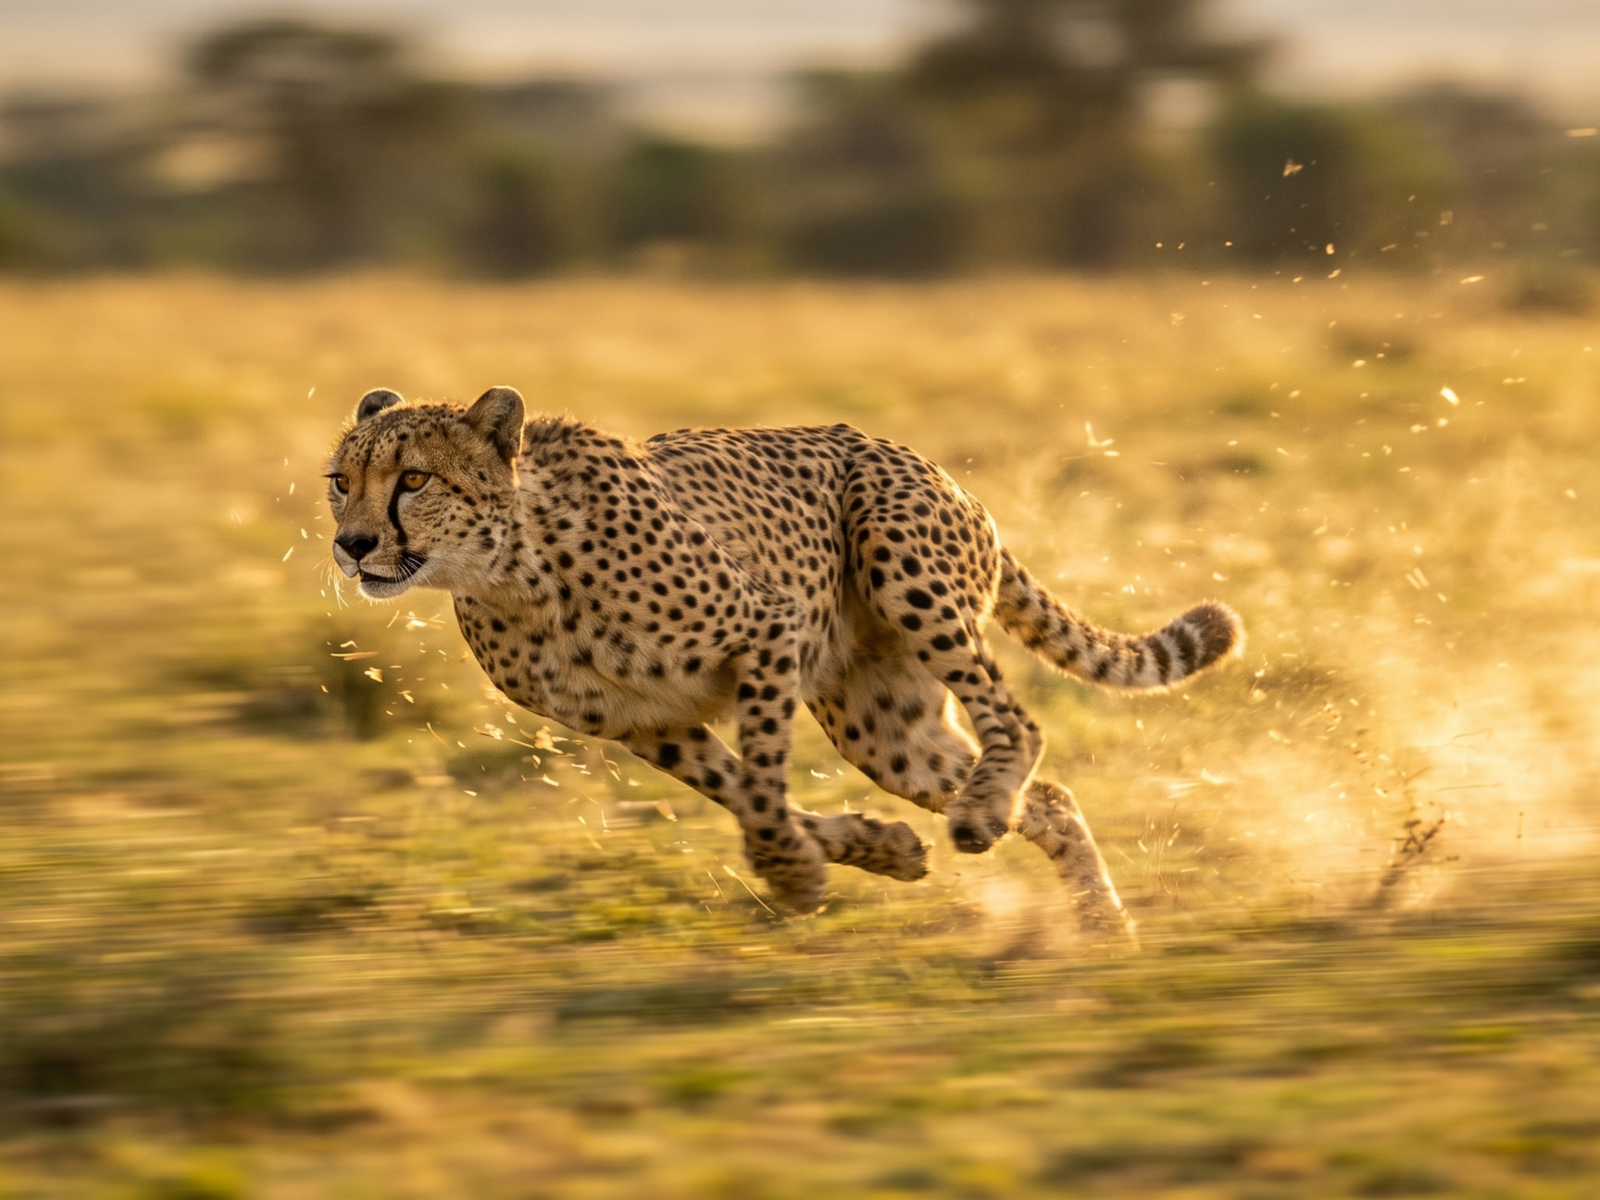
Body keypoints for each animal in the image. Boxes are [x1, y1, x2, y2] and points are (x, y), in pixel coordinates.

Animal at [326, 386, 1243, 934]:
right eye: (340, 480)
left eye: (414, 479)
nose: (353, 544)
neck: (514, 568)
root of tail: (933, 467)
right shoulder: (642, 726)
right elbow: (742, 790)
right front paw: (876, 848)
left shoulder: (769, 631)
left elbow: (763, 787)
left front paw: (795, 875)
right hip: (883, 727)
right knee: (1043, 791)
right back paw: (1101, 926)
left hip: (904, 566)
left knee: (1017, 720)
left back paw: (989, 815)